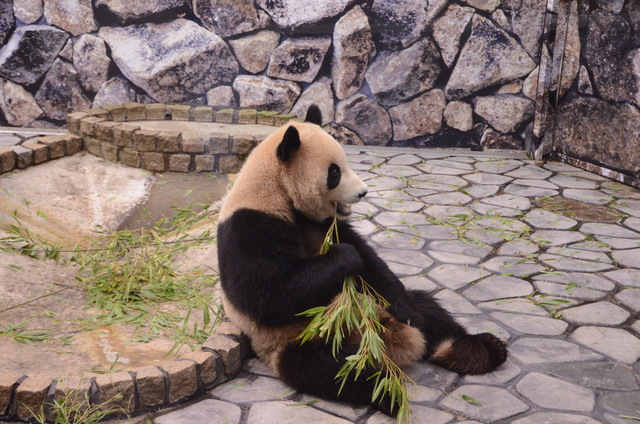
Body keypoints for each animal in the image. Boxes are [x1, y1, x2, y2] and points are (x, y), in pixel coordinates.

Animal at [218, 104, 508, 412]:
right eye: (334, 172)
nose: (363, 192)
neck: (277, 190)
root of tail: (381, 340)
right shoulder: (250, 225)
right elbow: (268, 296)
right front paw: (344, 256)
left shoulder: (323, 223)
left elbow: (371, 263)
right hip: (296, 340)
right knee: (330, 370)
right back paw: (389, 391)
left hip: (379, 304)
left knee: (427, 310)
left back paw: (476, 351)